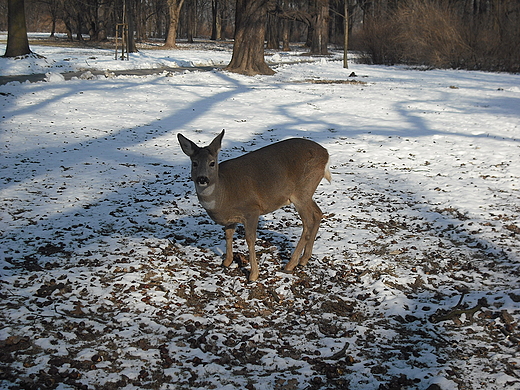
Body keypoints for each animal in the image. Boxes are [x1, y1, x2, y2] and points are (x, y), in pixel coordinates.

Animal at [179, 130, 332, 280]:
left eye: (212, 163)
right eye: (194, 163)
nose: (202, 179)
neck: (224, 193)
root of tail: (326, 154)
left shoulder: (252, 209)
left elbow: (250, 239)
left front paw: (253, 274)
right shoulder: (230, 219)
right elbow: (228, 235)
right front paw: (227, 261)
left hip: (302, 191)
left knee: (308, 222)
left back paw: (290, 264)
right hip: (306, 193)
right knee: (318, 213)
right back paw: (304, 259)